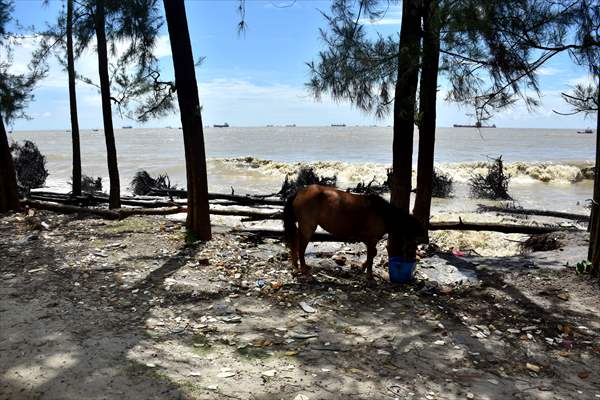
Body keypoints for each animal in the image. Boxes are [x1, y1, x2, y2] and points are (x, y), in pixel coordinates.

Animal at [282, 185, 426, 282]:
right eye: (415, 238)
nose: (410, 258)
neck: (383, 213)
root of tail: (299, 192)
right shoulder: (372, 238)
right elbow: (371, 255)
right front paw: (369, 275)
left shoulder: (369, 239)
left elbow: (372, 254)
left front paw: (362, 267)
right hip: (308, 227)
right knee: (300, 247)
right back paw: (303, 268)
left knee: (294, 243)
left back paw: (296, 267)